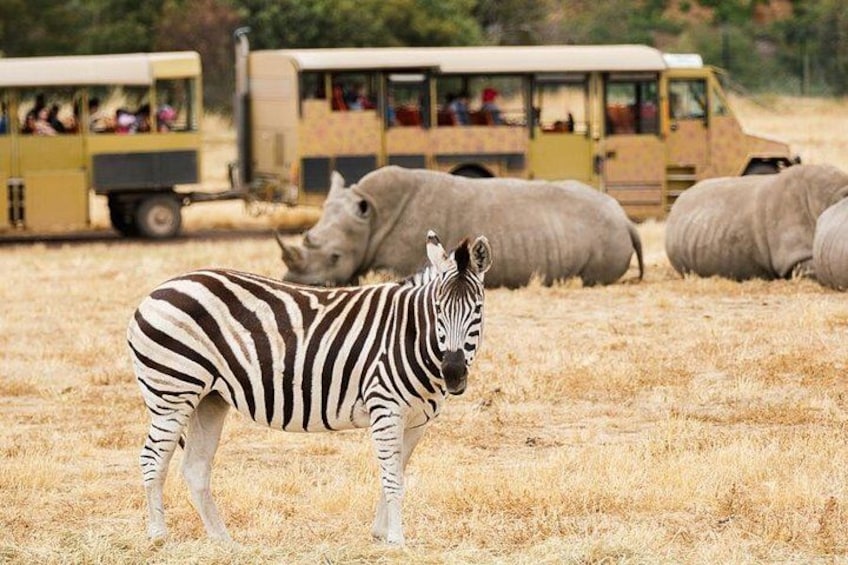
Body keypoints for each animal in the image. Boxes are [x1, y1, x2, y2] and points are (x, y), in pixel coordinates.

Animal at [127, 230, 492, 546]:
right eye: (438, 309)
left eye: (477, 310)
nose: (454, 373)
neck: (411, 335)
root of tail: (155, 292)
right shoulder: (385, 408)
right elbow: (392, 479)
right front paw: (396, 541)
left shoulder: (416, 421)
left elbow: (397, 473)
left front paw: (380, 534)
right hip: (173, 393)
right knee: (152, 460)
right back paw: (158, 537)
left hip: (209, 399)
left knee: (195, 468)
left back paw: (223, 540)